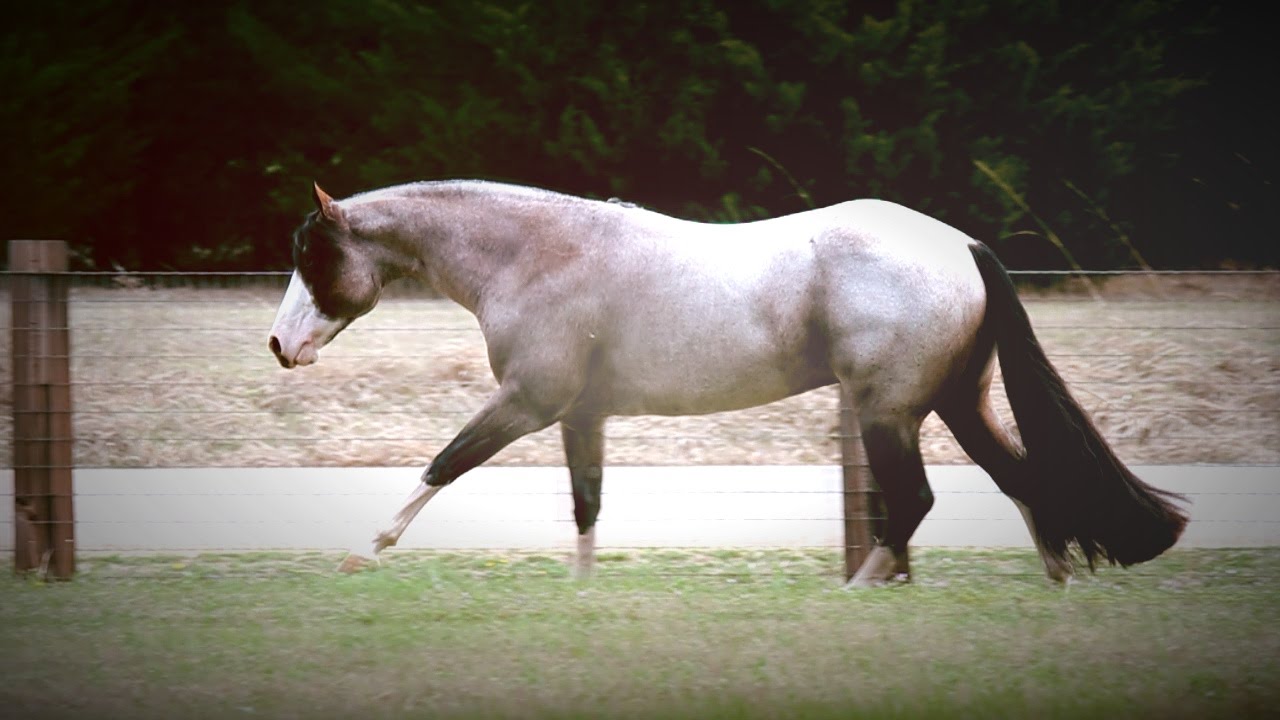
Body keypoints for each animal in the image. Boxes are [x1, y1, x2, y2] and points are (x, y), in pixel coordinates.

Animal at [268, 179, 1188, 586]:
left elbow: (444, 463)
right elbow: (586, 504)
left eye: (315, 256)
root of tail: (958, 244)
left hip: (889, 412)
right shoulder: (579, 416)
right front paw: (582, 594)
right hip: (957, 403)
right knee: (1021, 480)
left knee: (916, 500)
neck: (537, 254)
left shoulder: (528, 404)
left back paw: (857, 591)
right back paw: (1056, 583)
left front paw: (367, 549)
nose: (280, 344)